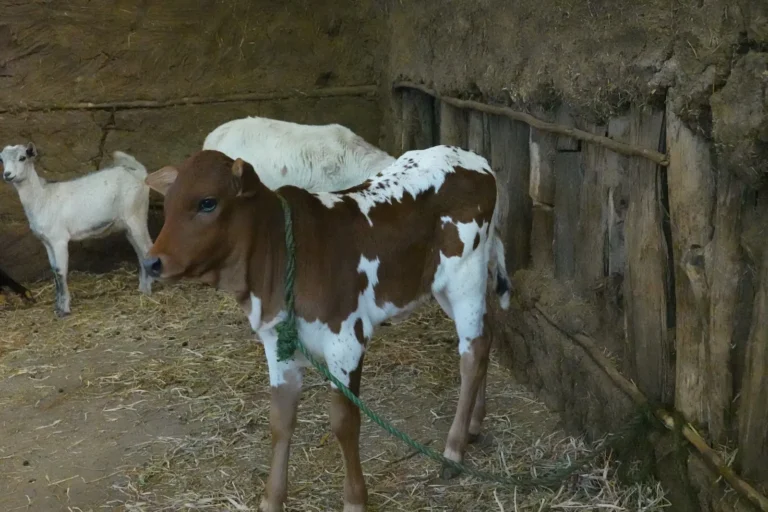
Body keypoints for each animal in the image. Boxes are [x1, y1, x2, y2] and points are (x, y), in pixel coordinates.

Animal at [142, 145, 511, 512]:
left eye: (207, 202)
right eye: (168, 202)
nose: (151, 262)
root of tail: (473, 159)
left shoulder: (346, 341)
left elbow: (344, 423)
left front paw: (355, 499)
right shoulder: (278, 345)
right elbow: (280, 420)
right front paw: (272, 499)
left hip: (465, 277)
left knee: (473, 352)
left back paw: (453, 449)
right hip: (443, 286)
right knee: (485, 337)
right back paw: (474, 424)